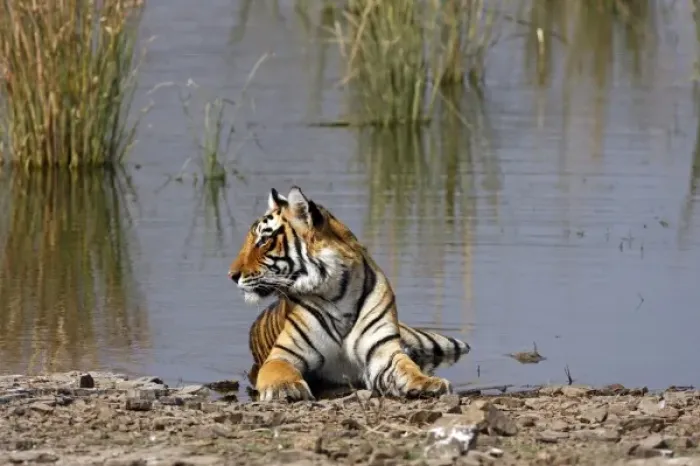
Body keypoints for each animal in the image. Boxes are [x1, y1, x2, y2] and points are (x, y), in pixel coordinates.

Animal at [228, 186, 470, 402]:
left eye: (263, 241)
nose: (231, 275)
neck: (337, 292)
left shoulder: (383, 352)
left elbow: (408, 368)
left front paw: (428, 383)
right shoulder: (284, 354)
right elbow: (279, 370)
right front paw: (284, 388)